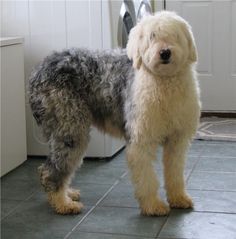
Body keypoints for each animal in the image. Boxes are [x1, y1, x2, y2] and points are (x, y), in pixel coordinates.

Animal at [28, 11, 200, 216]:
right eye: (152, 37)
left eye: (174, 35)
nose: (165, 53)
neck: (164, 82)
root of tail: (39, 70)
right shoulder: (141, 139)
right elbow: (147, 178)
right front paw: (153, 205)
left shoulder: (177, 139)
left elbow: (175, 172)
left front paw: (178, 198)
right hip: (70, 128)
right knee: (50, 170)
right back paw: (63, 203)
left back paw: (68, 193)